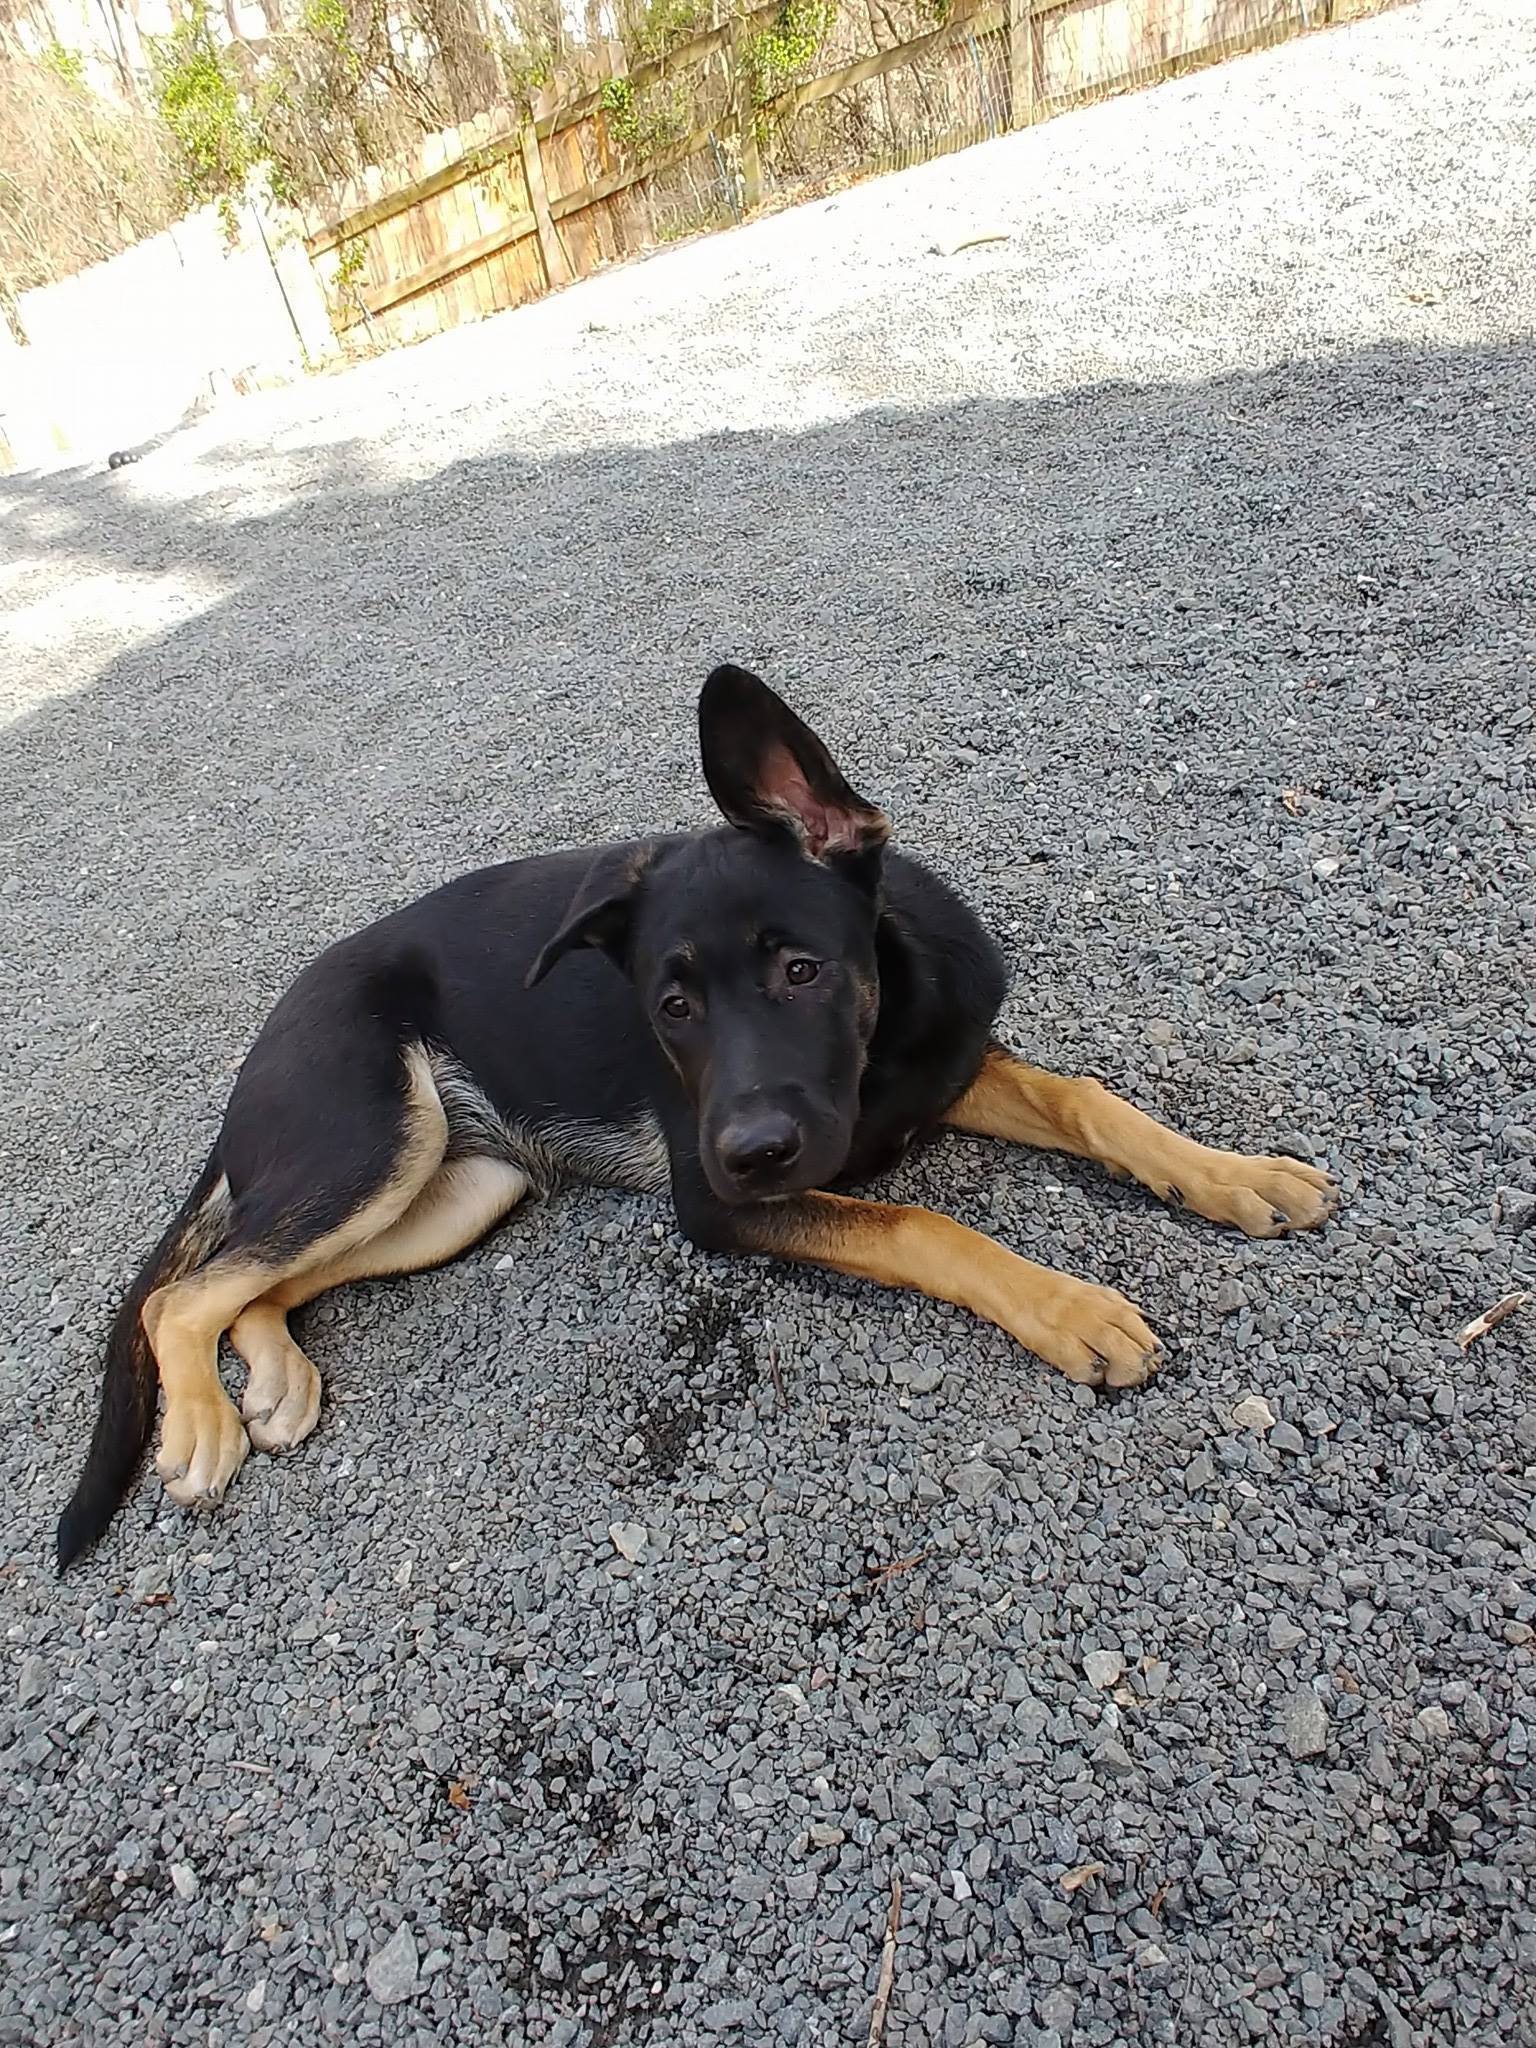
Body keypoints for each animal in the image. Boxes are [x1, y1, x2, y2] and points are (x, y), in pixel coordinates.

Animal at [57, 663, 1335, 1556]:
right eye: (669, 1005)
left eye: (802, 970)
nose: (753, 1149)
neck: (881, 1042)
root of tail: (262, 1041)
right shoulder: (719, 1203)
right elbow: (925, 1225)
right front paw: (1072, 1308)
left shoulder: (945, 1066)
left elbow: (1088, 1098)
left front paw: (1237, 1174)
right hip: (377, 1141)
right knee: (181, 1291)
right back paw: (202, 1425)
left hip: (457, 1190)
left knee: (258, 1276)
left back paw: (273, 1373)